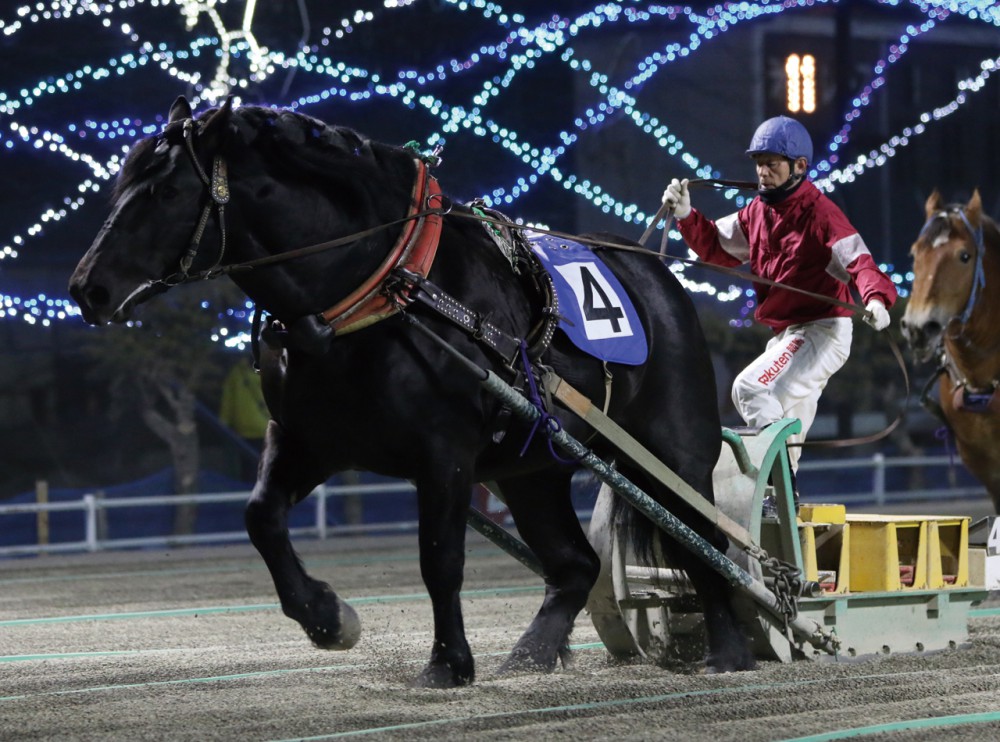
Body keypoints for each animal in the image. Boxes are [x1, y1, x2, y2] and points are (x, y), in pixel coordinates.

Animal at [68, 97, 752, 684]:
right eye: (120, 187)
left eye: (166, 190)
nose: (86, 288)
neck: (381, 289)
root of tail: (654, 269)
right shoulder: (309, 441)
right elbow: (260, 515)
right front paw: (326, 617)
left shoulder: (444, 453)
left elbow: (439, 558)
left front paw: (448, 663)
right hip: (531, 469)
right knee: (575, 565)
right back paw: (532, 655)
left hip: (674, 452)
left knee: (709, 543)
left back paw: (730, 650)